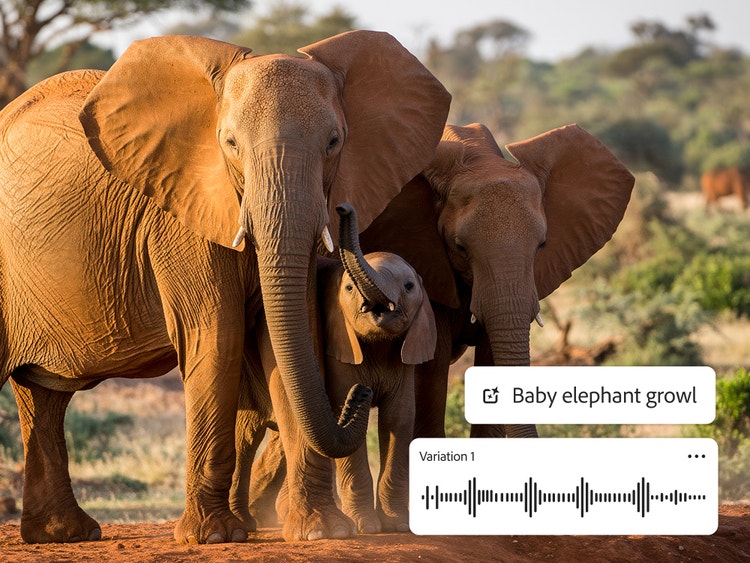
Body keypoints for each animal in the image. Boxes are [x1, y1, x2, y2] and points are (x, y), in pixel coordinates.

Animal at [0, 31, 450, 544]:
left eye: (334, 142)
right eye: (230, 144)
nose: (344, 211)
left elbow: (289, 335)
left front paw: (321, 531)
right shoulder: (180, 213)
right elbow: (219, 334)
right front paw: (213, 537)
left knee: (43, 395)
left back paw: (64, 534)